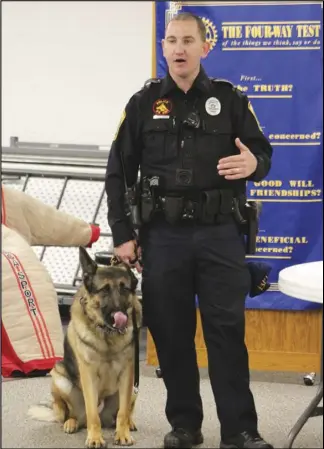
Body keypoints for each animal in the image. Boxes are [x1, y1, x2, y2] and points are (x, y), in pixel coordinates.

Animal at [28, 247, 142, 446]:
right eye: (104, 290)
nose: (120, 312)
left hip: (133, 386)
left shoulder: (128, 374)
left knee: (124, 411)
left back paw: (130, 422)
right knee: (72, 414)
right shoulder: (88, 375)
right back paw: (71, 423)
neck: (107, 334)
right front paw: (95, 438)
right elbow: (92, 414)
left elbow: (122, 412)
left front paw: (123, 434)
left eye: (124, 288)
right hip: (59, 376)